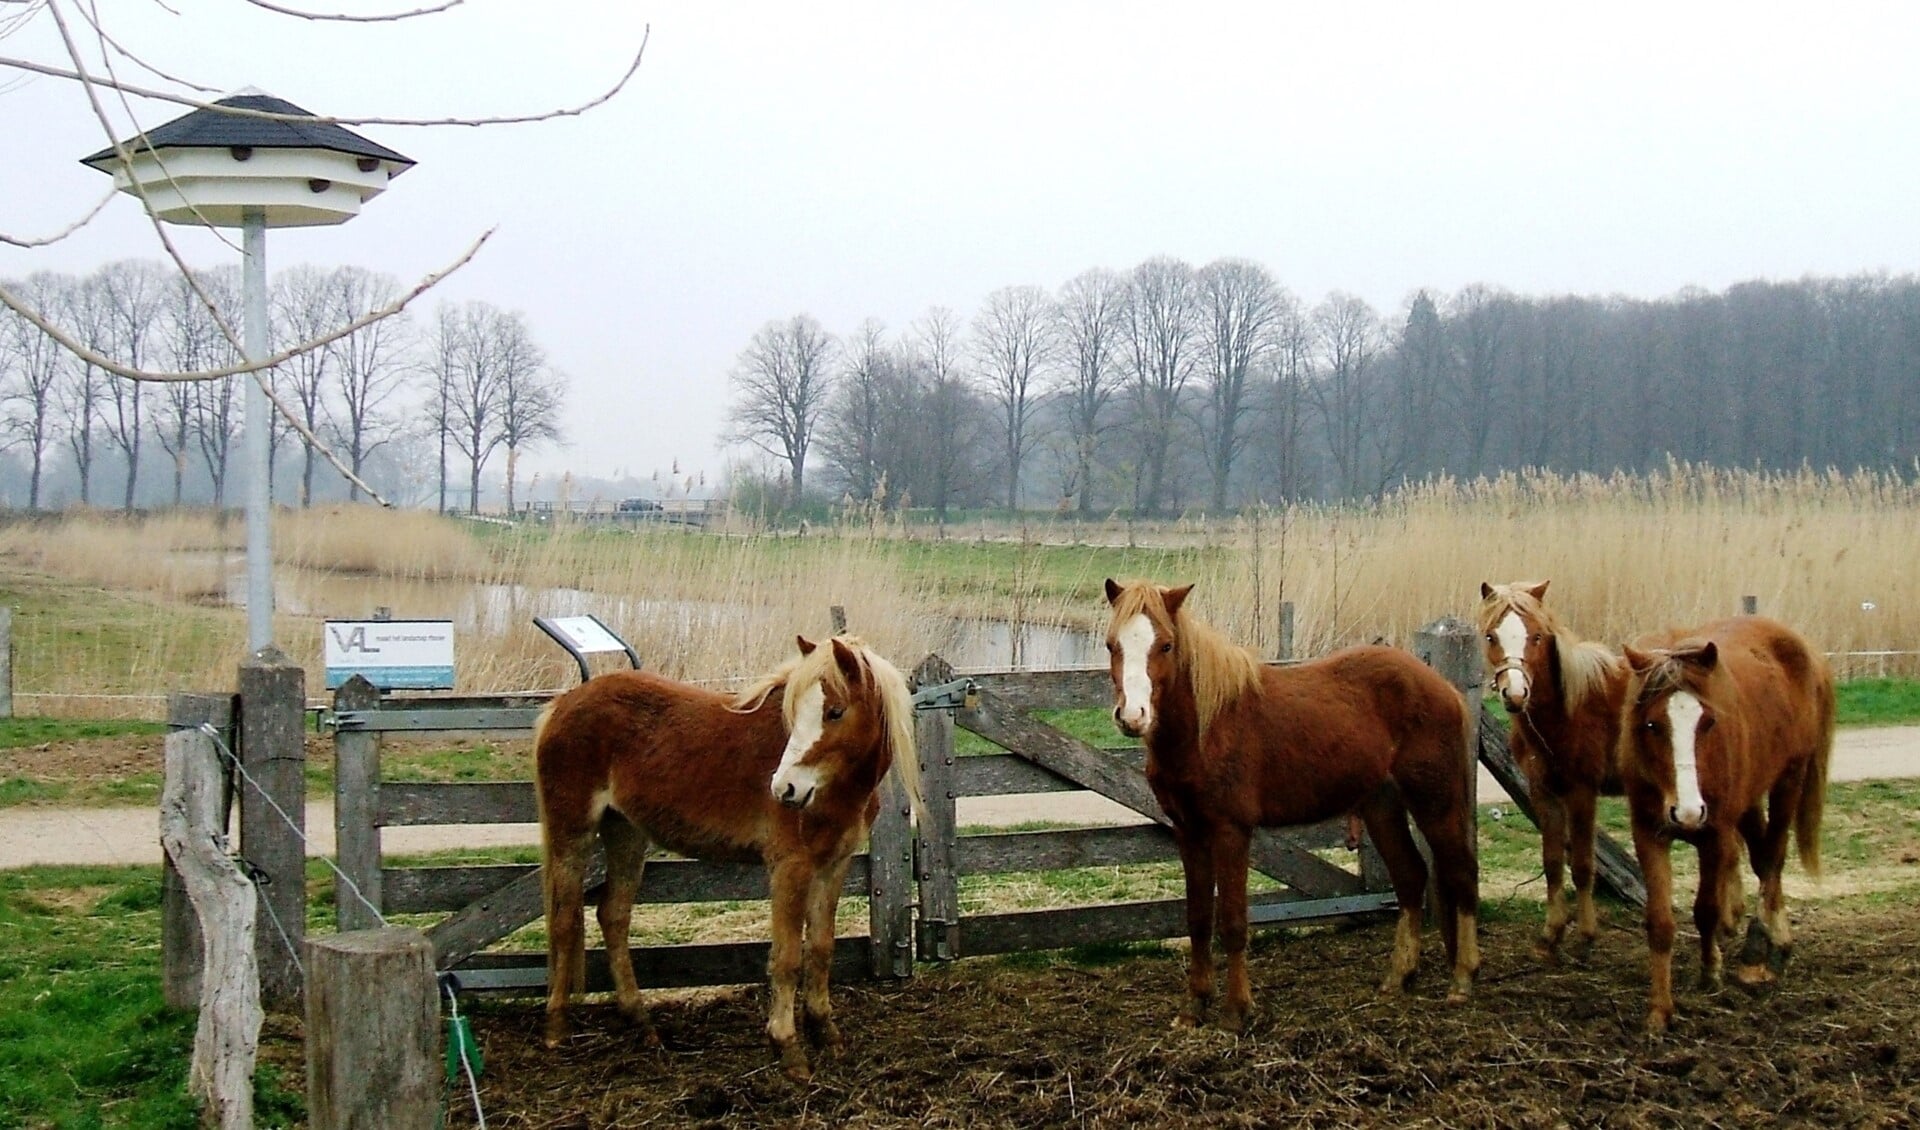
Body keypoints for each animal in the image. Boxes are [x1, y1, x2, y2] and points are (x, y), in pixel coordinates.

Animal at [533, 629, 921, 1082]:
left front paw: (826, 1033)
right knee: (564, 922)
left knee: (612, 916)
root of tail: (563, 704)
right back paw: (555, 1028)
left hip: (626, 832)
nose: (785, 789)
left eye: (835, 712)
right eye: (796, 712)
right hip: (572, 834)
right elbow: (787, 958)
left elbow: (821, 949)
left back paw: (642, 1024)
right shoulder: (790, 868)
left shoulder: (833, 867)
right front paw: (788, 1048)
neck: (835, 791)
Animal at [1105, 575, 1474, 1028]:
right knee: (1410, 877)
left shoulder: (1231, 831)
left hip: (1436, 802)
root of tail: (1444, 688)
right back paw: (1397, 978)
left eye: (1167, 645)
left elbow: (1232, 921)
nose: (1133, 716)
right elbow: (1197, 919)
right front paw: (1193, 1008)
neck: (1205, 729)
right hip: (1381, 806)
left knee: (1461, 873)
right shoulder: (1188, 832)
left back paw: (1462, 982)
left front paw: (1236, 1011)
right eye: (1112, 644)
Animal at [1474, 583, 1628, 959]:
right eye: (1491, 636)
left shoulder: (1583, 792)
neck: (1570, 708)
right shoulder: (1543, 791)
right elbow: (1553, 861)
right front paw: (1551, 934)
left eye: (1537, 636)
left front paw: (1586, 936)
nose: (1515, 694)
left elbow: (1584, 864)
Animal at [1628, 617, 1835, 1028]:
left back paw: (1759, 955)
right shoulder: (1648, 835)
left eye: (1708, 722)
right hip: (1751, 798)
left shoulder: (1717, 835)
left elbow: (1706, 909)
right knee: (1761, 854)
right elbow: (1659, 923)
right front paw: (1660, 1009)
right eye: (1652, 724)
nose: (1688, 812)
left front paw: (1711, 972)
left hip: (1790, 777)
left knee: (1772, 859)